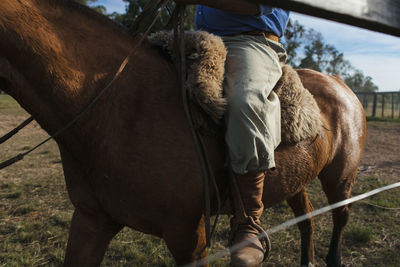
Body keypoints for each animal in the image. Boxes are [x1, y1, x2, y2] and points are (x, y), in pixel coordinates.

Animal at [0, 1, 366, 266]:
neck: (119, 102)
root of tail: (339, 83)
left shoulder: (189, 236)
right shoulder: (92, 220)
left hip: (340, 178)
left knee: (340, 217)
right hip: (297, 180)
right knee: (307, 220)